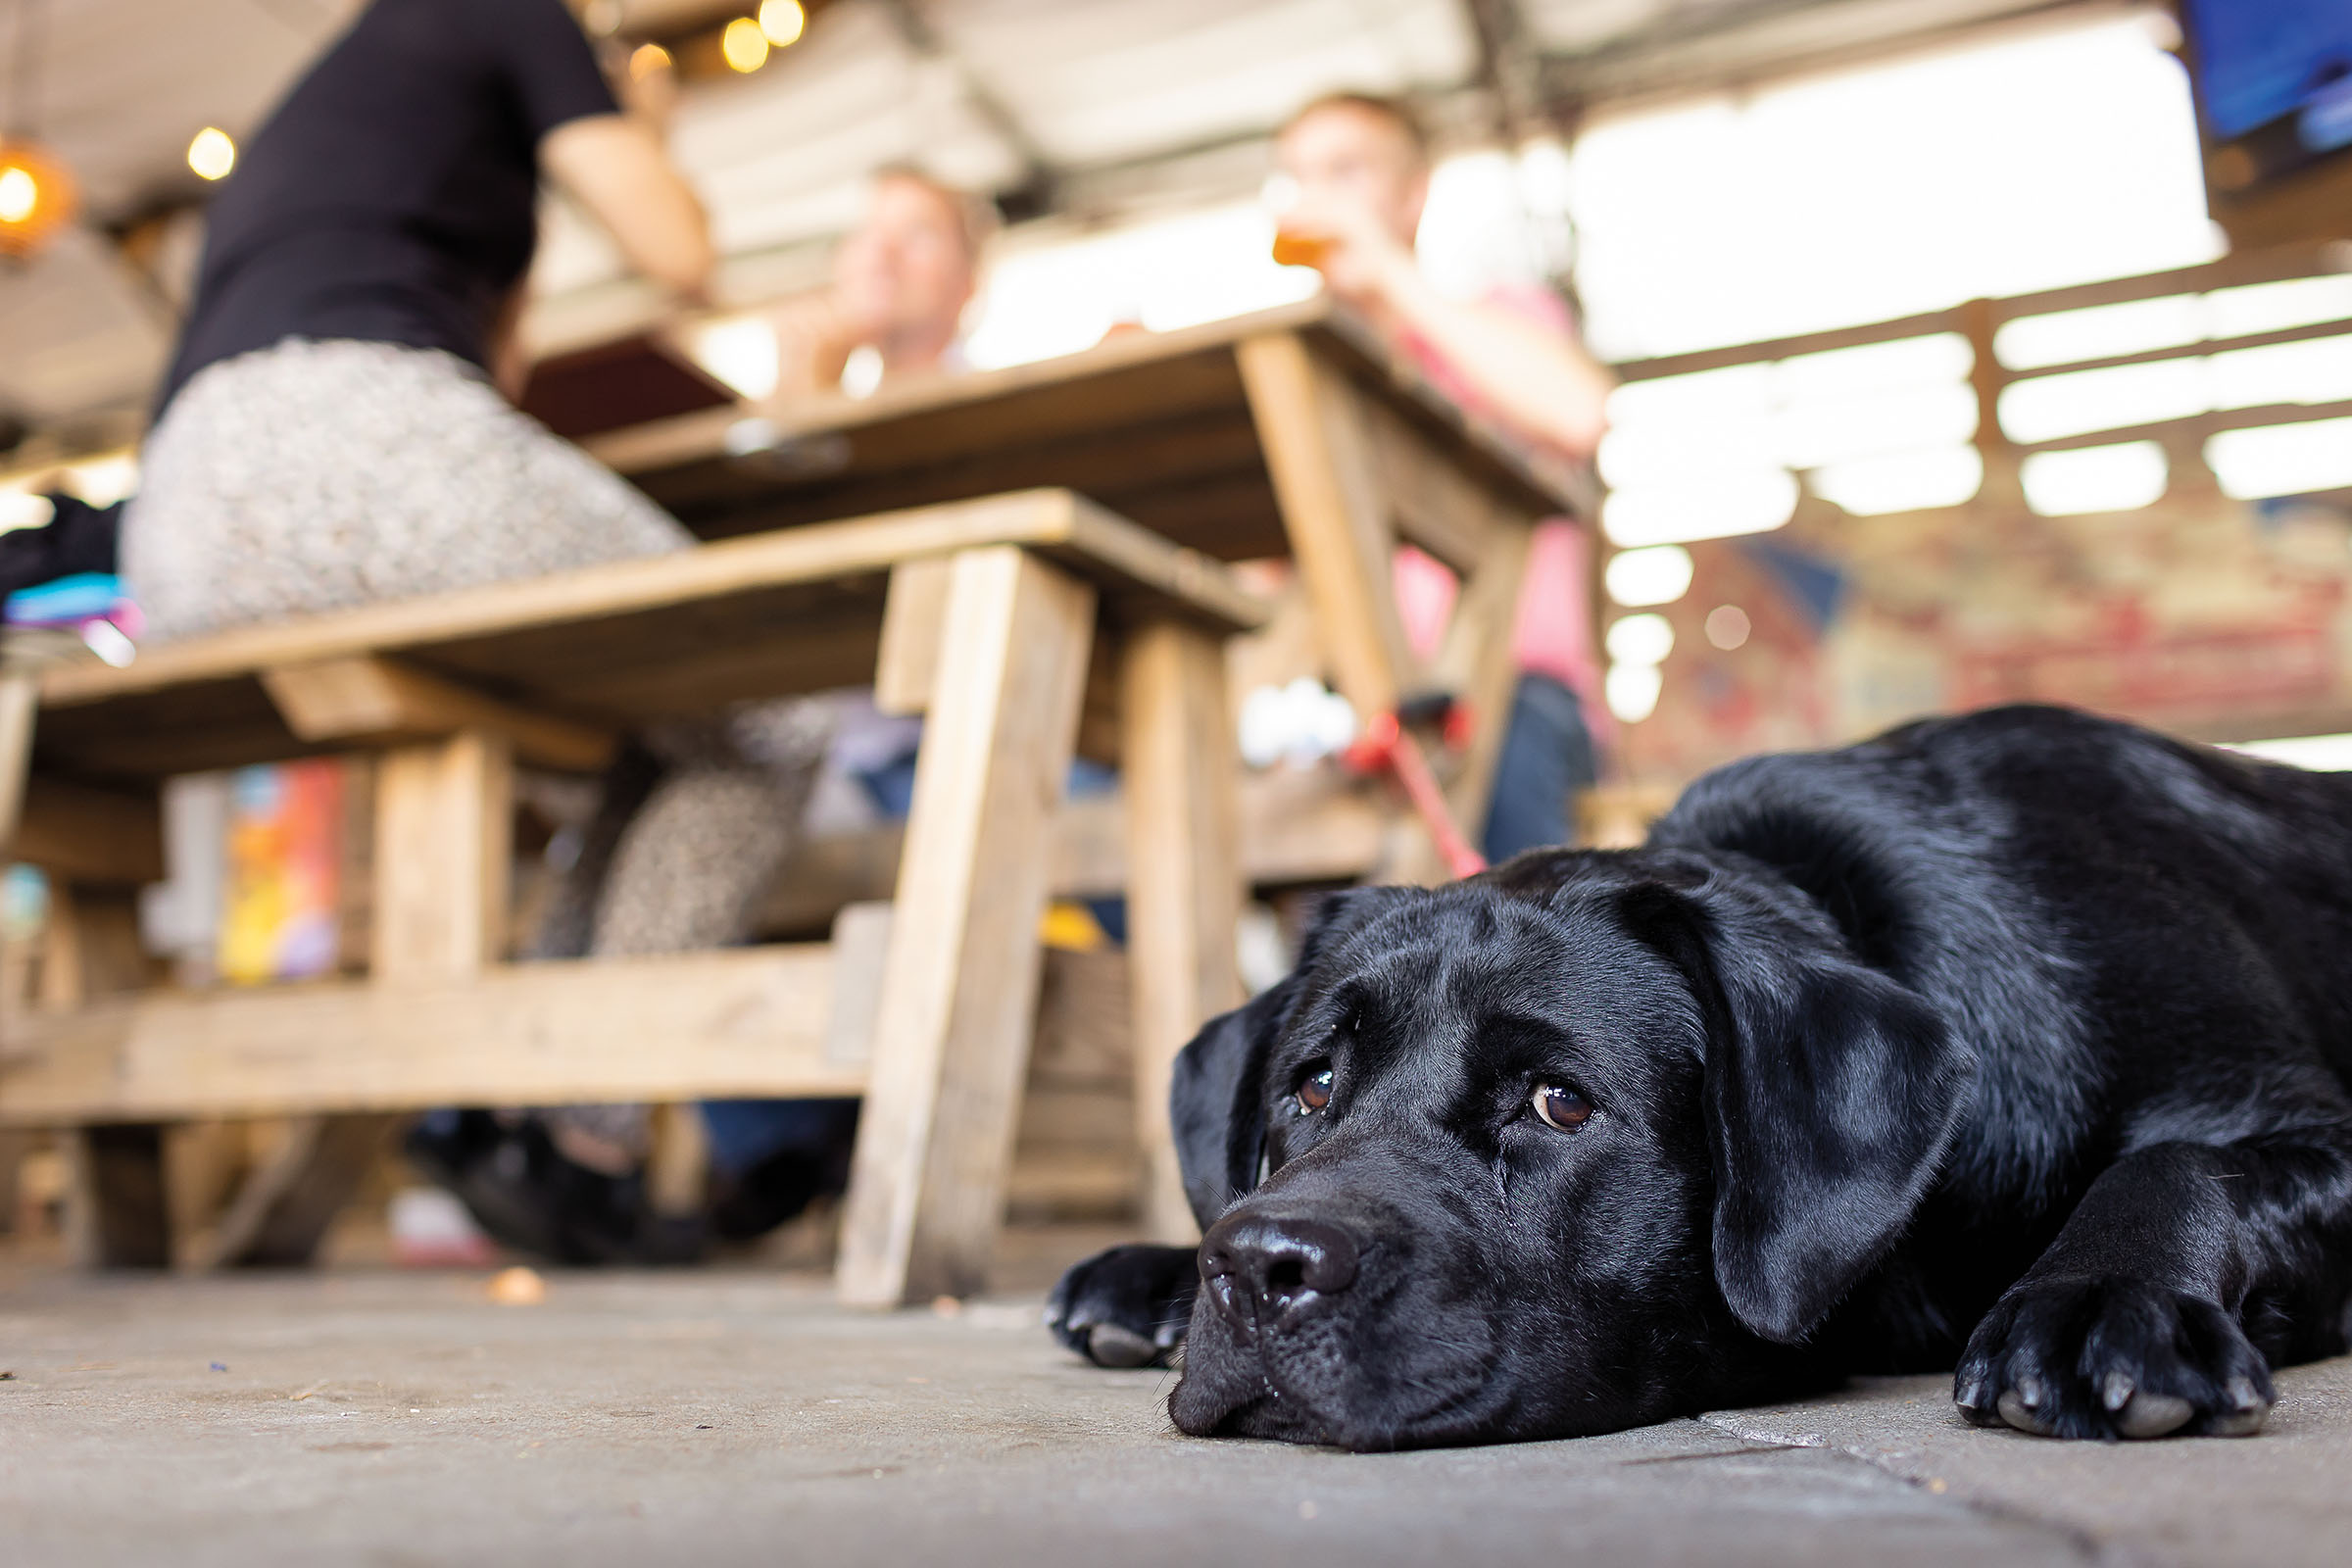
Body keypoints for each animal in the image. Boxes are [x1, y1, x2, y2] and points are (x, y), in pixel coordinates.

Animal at [1049, 710, 2352, 1447]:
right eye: (1312, 1085)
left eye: (1558, 1101)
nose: (1260, 1267)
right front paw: (1166, 1272)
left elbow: (2181, 1159)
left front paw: (2099, 1299)